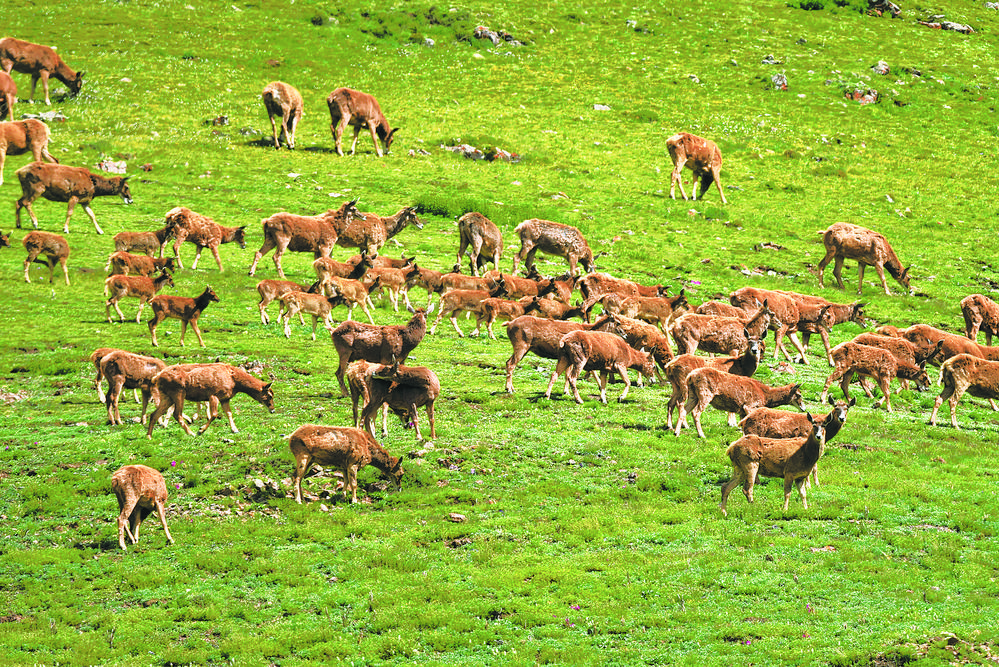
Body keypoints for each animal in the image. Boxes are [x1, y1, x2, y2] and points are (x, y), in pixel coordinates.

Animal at [146, 363, 275, 437]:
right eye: (269, 395)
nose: (273, 410)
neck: (235, 382)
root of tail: (156, 377)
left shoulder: (225, 398)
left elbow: (229, 413)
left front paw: (235, 429)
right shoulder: (214, 394)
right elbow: (214, 414)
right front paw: (200, 430)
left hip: (167, 395)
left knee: (154, 414)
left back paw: (149, 436)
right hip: (178, 392)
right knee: (176, 414)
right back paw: (191, 433)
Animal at [676, 368, 805, 438]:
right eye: (799, 395)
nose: (803, 408)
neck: (766, 396)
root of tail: (690, 376)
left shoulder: (742, 410)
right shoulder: (750, 405)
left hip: (693, 394)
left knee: (683, 409)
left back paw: (676, 432)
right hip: (705, 393)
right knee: (695, 412)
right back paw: (701, 434)